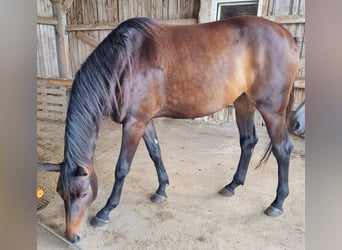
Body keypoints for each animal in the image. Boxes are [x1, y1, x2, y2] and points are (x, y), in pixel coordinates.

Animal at [38, 16, 300, 242]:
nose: (73, 236)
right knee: (248, 141)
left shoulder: (134, 123)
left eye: (83, 194)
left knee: (282, 150)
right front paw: (161, 189)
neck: (123, 62)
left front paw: (106, 210)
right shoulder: (144, 121)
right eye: (60, 193)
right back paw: (232, 185)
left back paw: (277, 203)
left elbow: (122, 168)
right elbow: (155, 152)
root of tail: (287, 36)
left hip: (272, 110)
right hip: (243, 102)